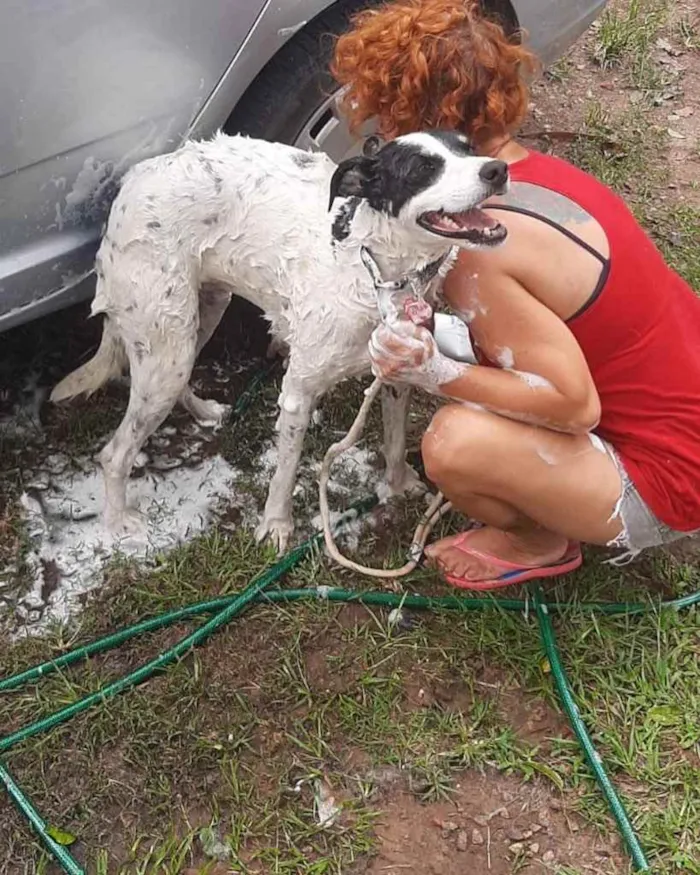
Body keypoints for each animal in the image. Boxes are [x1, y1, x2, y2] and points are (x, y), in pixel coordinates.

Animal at [50, 128, 508, 556]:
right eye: (422, 168)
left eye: (468, 147)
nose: (498, 169)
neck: (374, 269)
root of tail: (126, 189)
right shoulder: (297, 393)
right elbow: (284, 474)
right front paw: (275, 528)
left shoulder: (397, 377)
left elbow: (395, 443)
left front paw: (397, 487)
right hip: (167, 344)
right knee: (114, 454)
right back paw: (118, 525)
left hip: (197, 319)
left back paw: (204, 411)